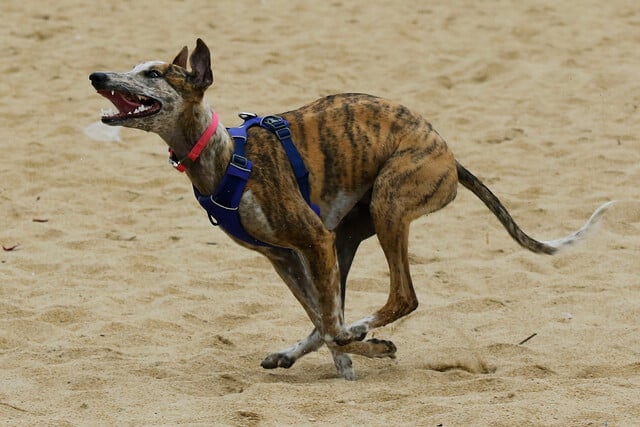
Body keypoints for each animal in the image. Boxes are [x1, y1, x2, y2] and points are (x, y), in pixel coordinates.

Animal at [89, 39, 608, 382]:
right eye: (134, 66)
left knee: (402, 297)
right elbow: (323, 317)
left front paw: (363, 349)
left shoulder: (312, 240)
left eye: (154, 74)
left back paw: (363, 330)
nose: (97, 76)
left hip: (388, 205)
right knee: (340, 308)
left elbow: (332, 322)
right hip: (348, 235)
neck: (225, 155)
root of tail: (447, 153)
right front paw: (348, 359)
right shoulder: (286, 255)